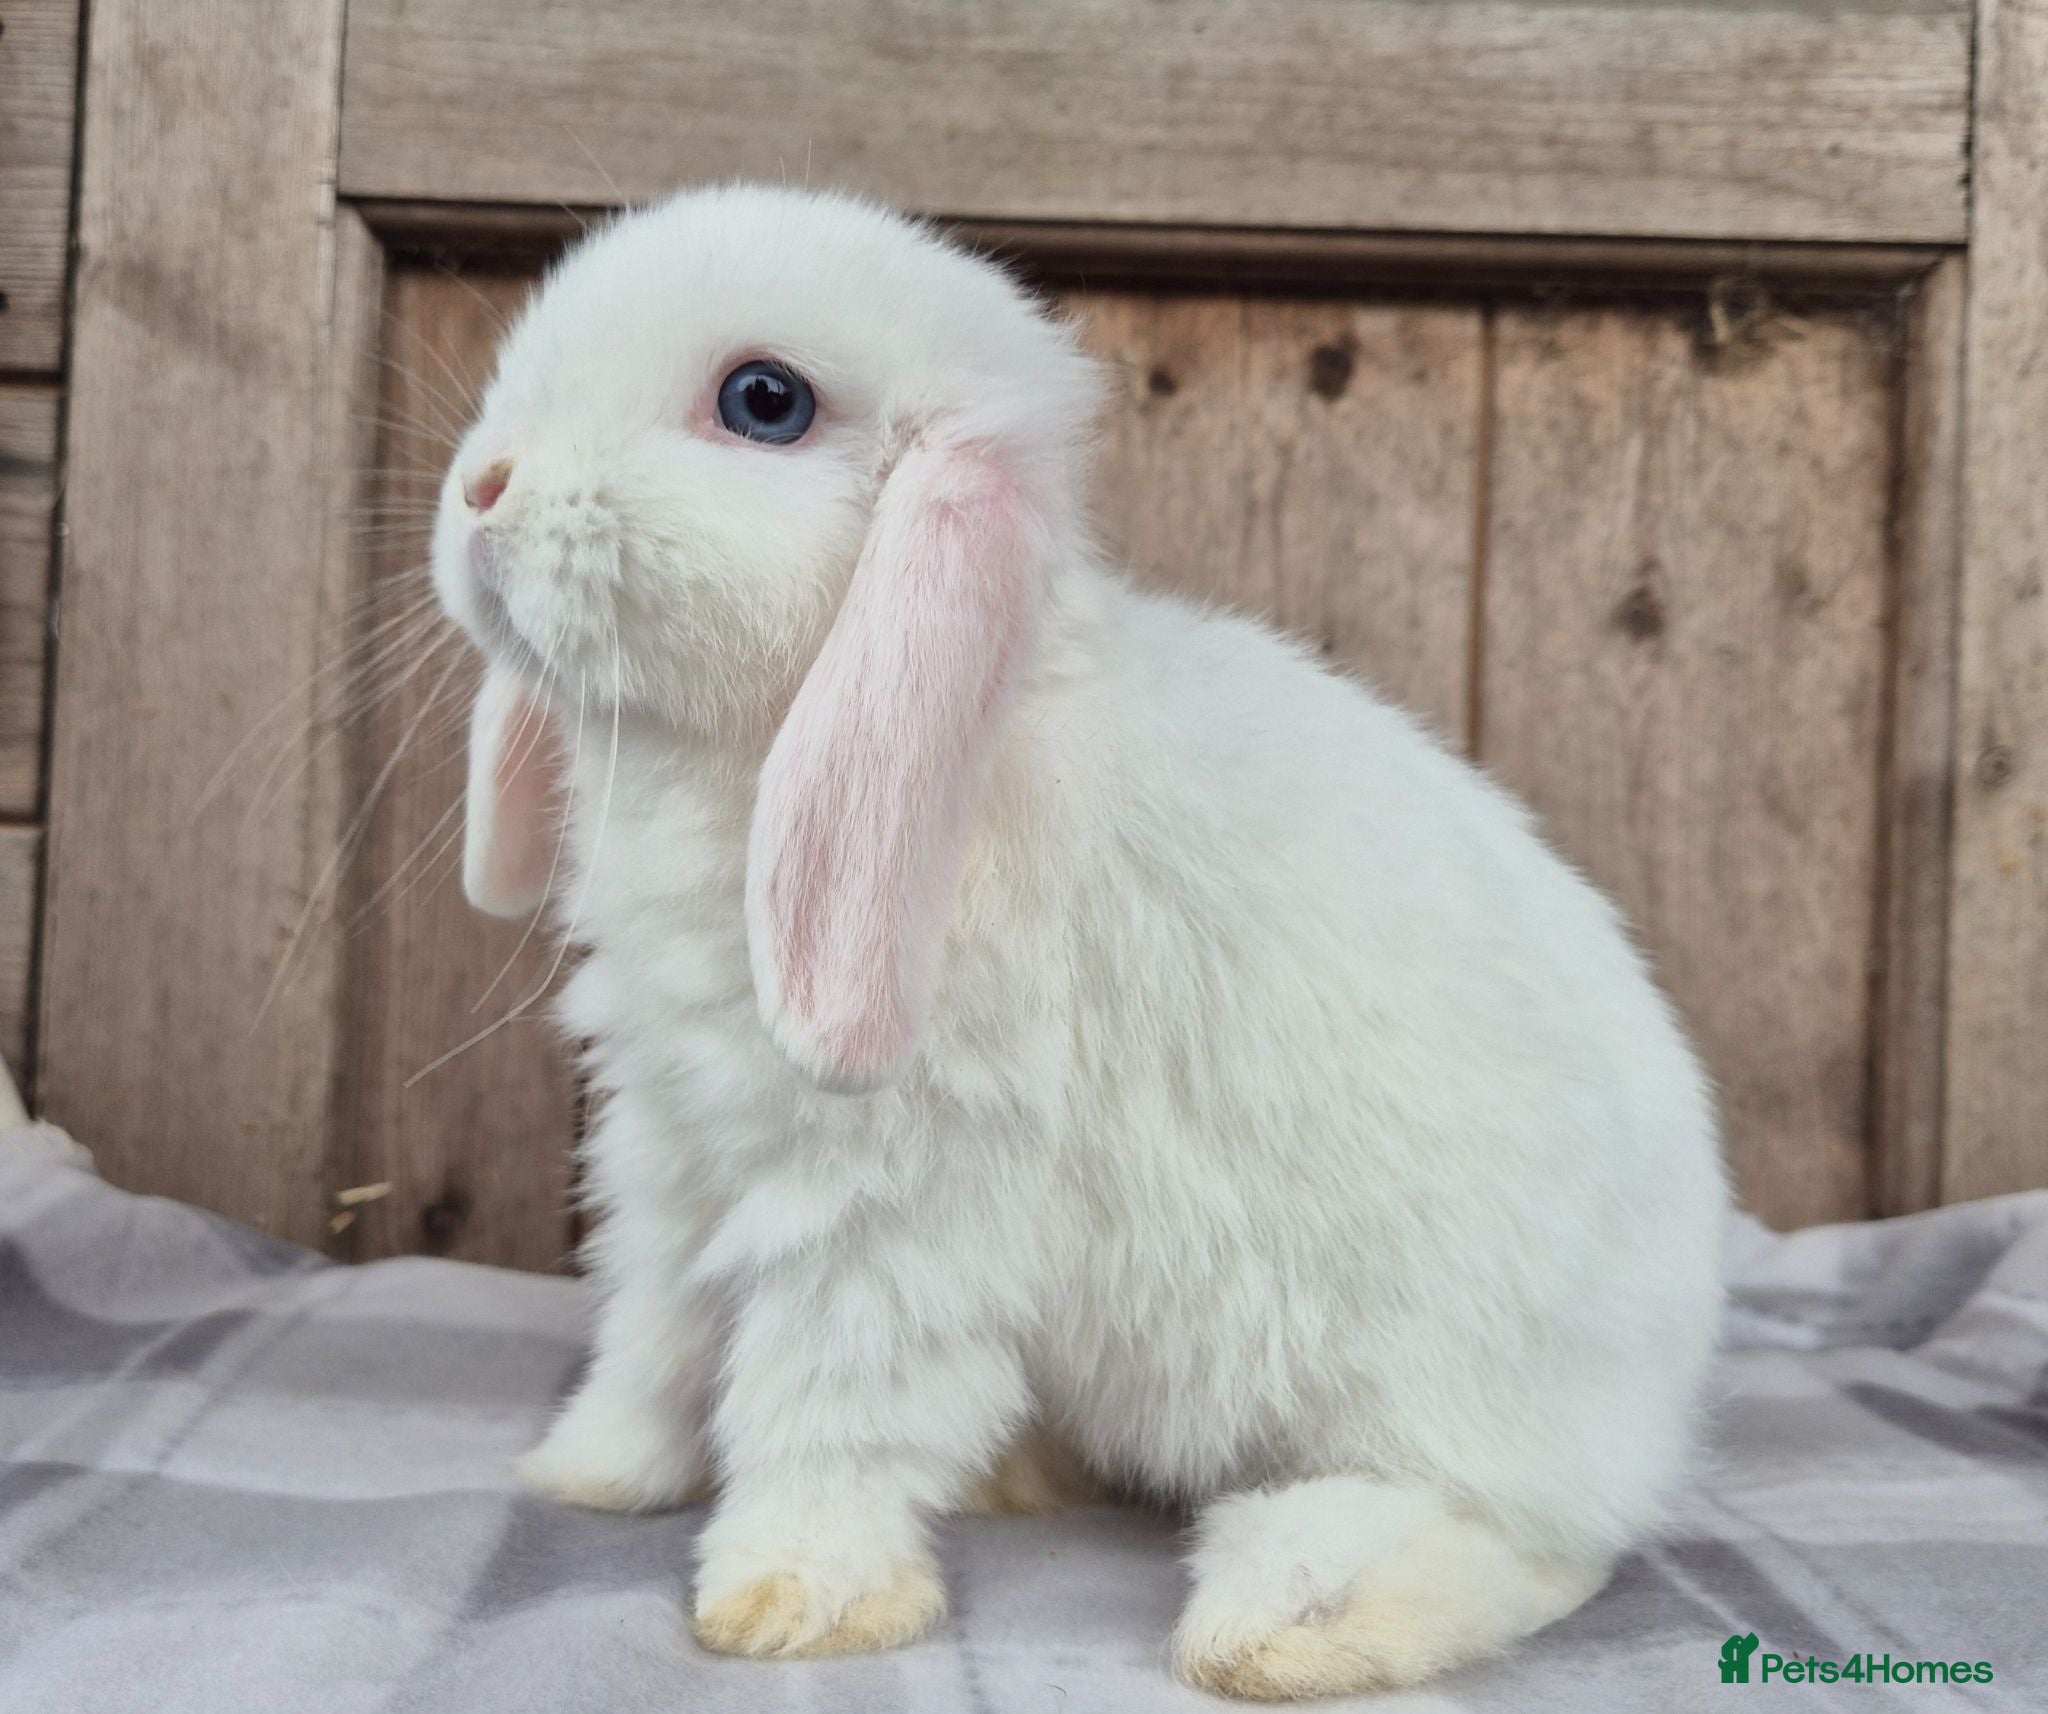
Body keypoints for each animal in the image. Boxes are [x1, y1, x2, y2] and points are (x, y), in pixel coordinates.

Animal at [431, 183, 1727, 1699]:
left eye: (764, 400)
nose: (481, 487)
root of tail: (1668, 1377)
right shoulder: (678, 1160)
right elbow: (656, 1334)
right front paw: (590, 1471)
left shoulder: (890, 1207)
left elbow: (828, 1403)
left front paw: (788, 1598)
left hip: (1450, 1392)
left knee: (1536, 1541)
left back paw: (1287, 1617)